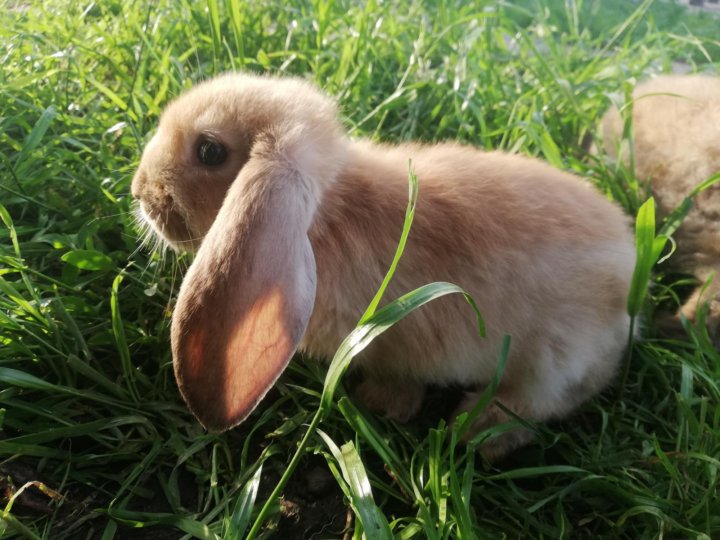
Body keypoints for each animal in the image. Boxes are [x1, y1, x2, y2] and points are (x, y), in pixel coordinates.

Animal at [131, 72, 636, 459]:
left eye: (209, 151)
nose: (140, 191)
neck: (327, 216)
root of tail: (628, 286)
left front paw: (378, 402)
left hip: (551, 364)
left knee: (545, 402)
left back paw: (475, 428)